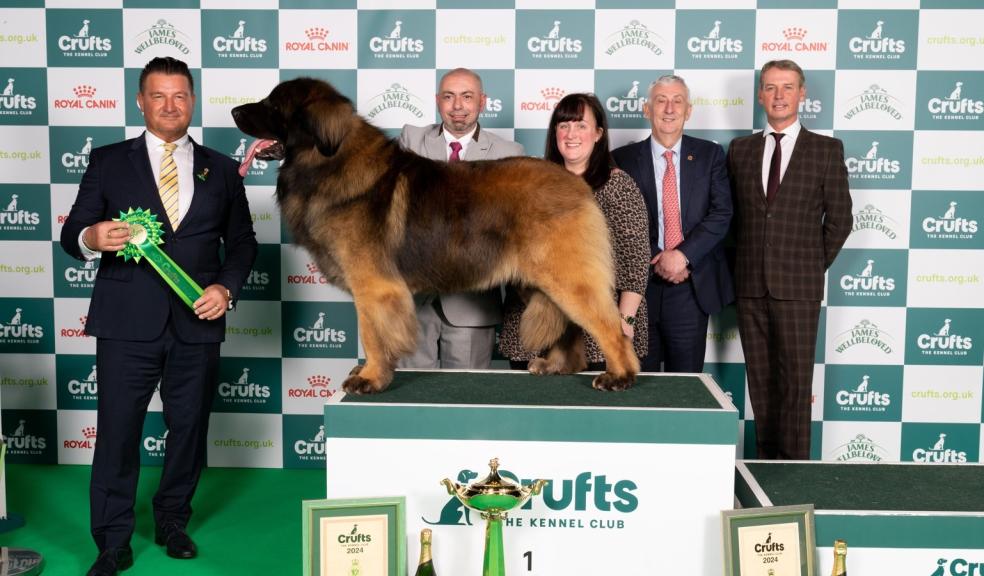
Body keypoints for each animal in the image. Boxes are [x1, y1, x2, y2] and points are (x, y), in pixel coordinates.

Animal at [234, 79, 640, 396]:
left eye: (273, 106)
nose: (236, 111)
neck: (327, 160)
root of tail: (576, 184)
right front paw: (370, 372)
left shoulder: (373, 285)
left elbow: (372, 333)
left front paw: (370, 377)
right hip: (539, 280)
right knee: (570, 324)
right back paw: (559, 365)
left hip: (566, 276)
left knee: (609, 326)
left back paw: (619, 375)